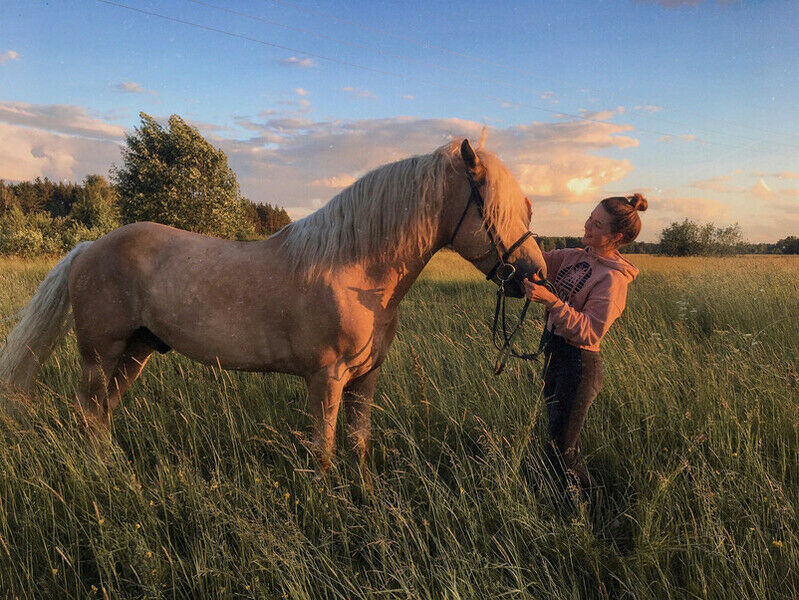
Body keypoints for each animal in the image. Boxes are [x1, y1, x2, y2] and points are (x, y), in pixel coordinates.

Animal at [0, 138, 546, 476]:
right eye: (492, 208)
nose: (535, 276)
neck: (354, 270)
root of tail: (89, 247)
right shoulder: (326, 379)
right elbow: (324, 452)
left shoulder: (366, 378)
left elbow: (358, 446)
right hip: (100, 354)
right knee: (89, 410)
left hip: (136, 352)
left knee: (102, 413)